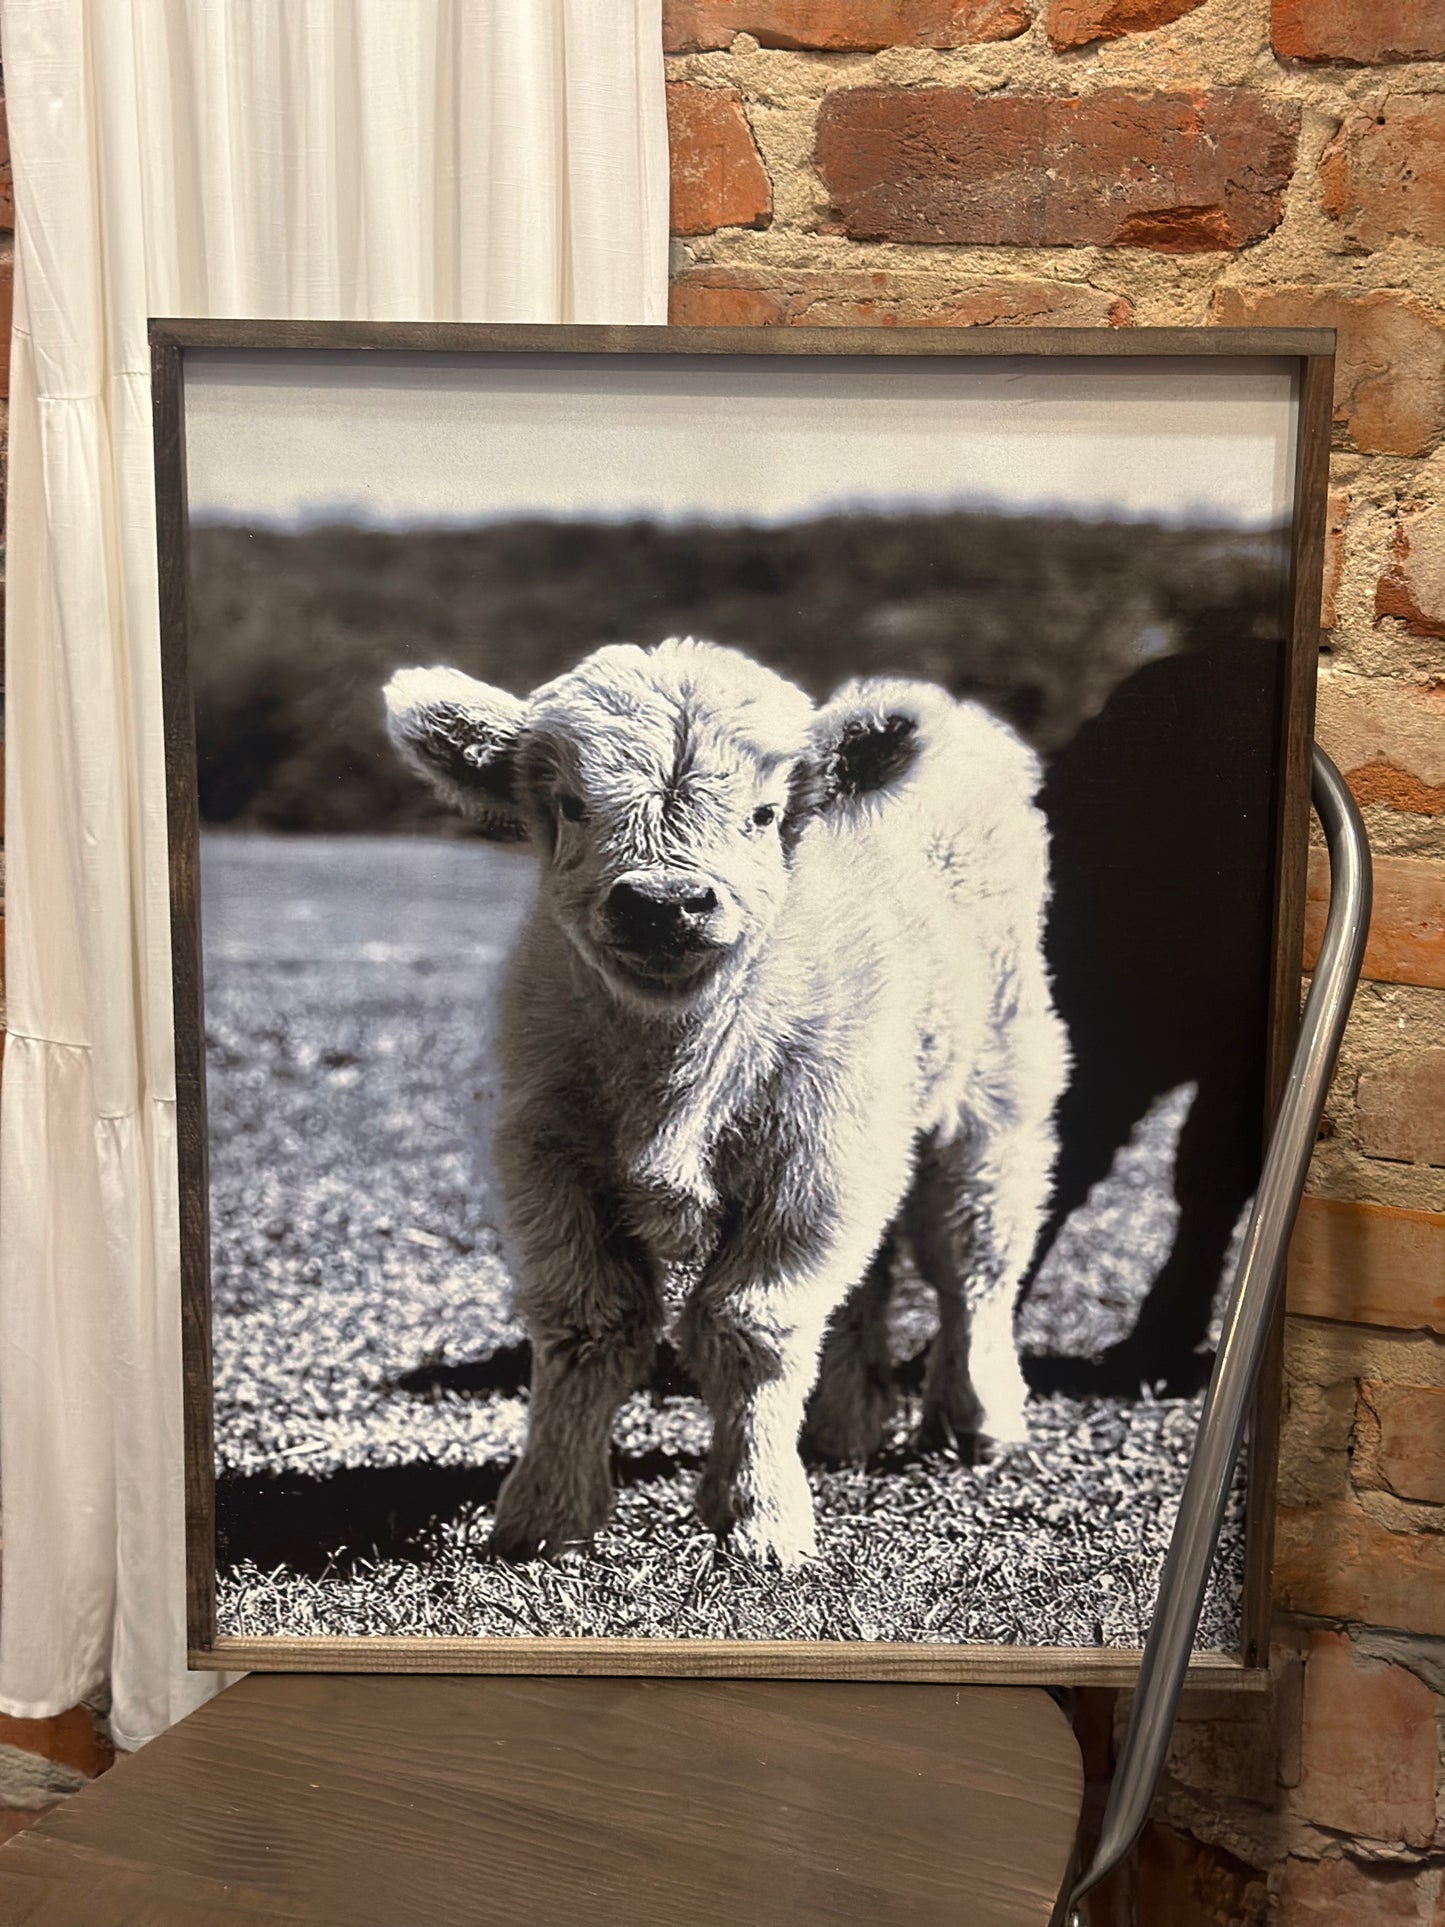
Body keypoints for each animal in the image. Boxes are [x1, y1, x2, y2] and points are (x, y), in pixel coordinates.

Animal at [384, 638, 1067, 1568]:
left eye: (763, 813)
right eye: (570, 803)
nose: (664, 903)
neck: (672, 1077)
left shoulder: (810, 1170)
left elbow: (752, 1324)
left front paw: (758, 1515)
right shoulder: (544, 1156)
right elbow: (589, 1320)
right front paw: (546, 1513)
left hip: (996, 1092)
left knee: (975, 1256)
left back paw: (977, 1416)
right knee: (873, 1273)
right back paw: (843, 1423)